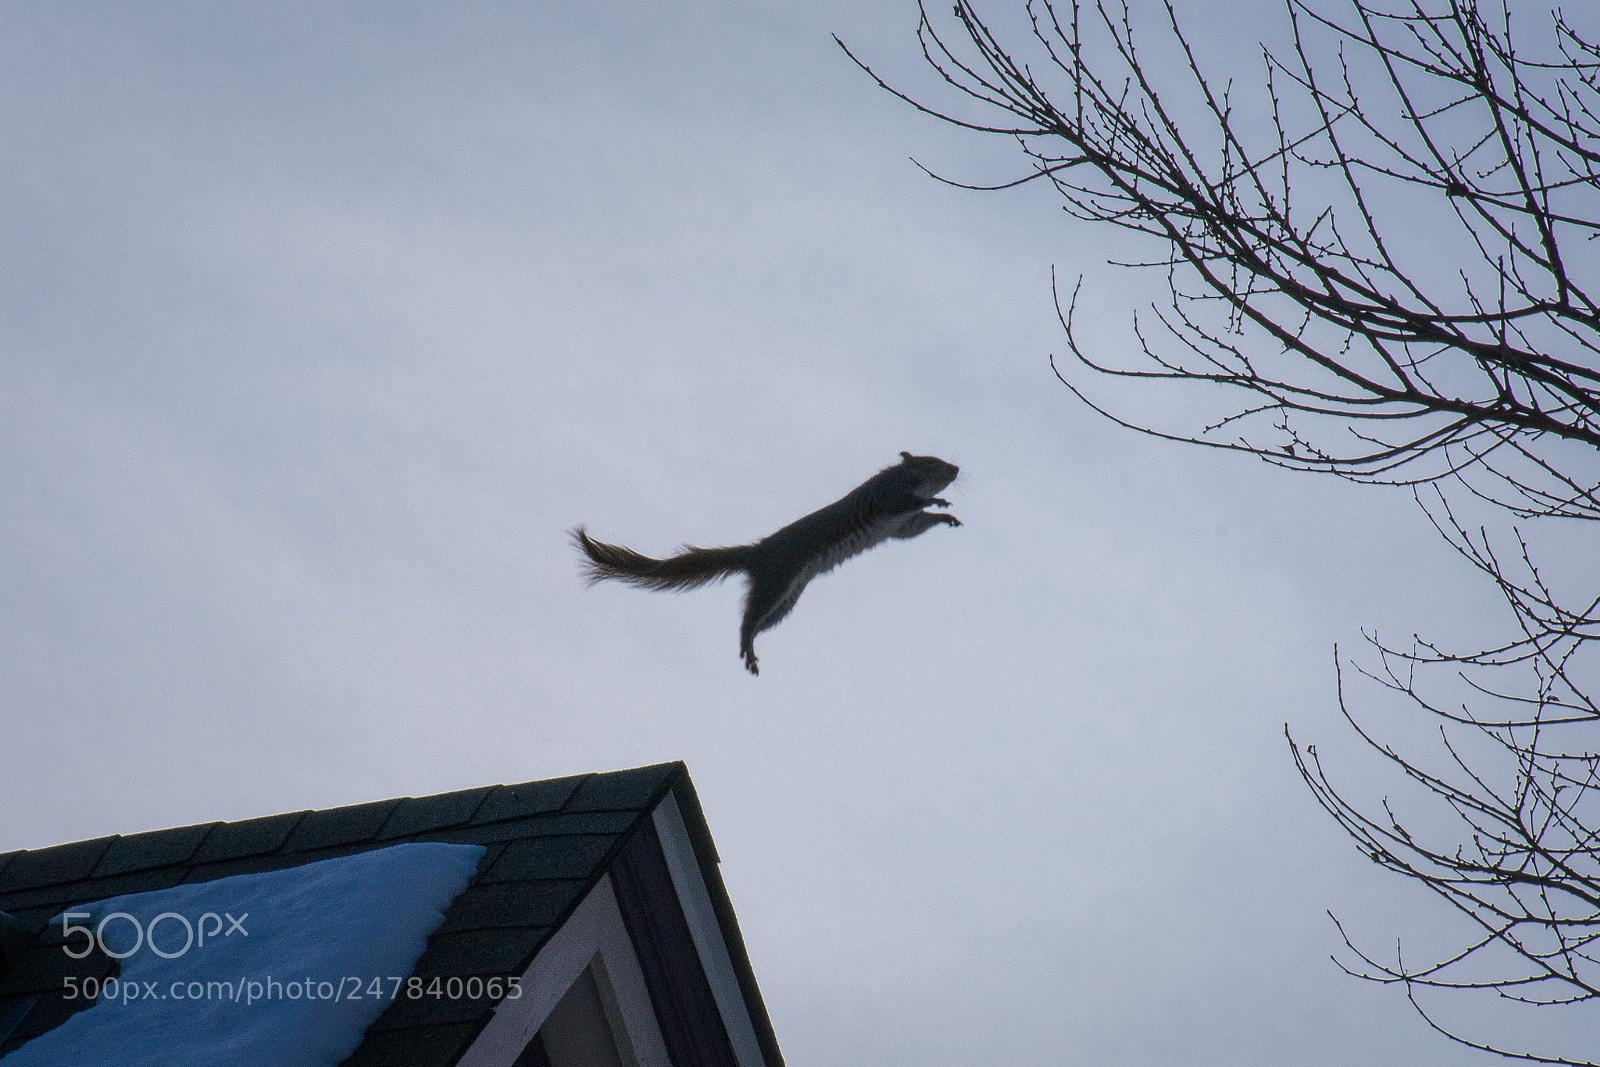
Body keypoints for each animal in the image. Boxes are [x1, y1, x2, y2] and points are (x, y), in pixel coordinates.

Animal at [573, 452, 961, 674]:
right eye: (931, 462)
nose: (956, 469)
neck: (903, 479)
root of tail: (757, 552)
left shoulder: (900, 527)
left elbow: (914, 527)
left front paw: (945, 517)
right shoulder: (888, 500)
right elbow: (907, 505)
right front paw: (939, 501)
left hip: (786, 601)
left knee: (759, 620)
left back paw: (751, 650)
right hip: (777, 580)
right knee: (749, 618)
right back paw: (747, 646)